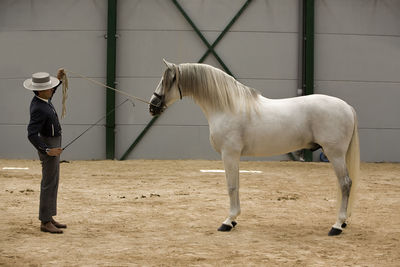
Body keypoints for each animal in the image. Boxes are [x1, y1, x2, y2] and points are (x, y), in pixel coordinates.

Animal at [149, 60, 360, 237]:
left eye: (165, 81)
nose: (152, 106)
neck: (227, 107)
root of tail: (347, 107)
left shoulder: (229, 154)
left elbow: (231, 186)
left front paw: (228, 221)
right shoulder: (233, 156)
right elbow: (236, 184)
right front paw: (234, 220)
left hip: (335, 154)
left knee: (345, 183)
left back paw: (337, 225)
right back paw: (343, 222)